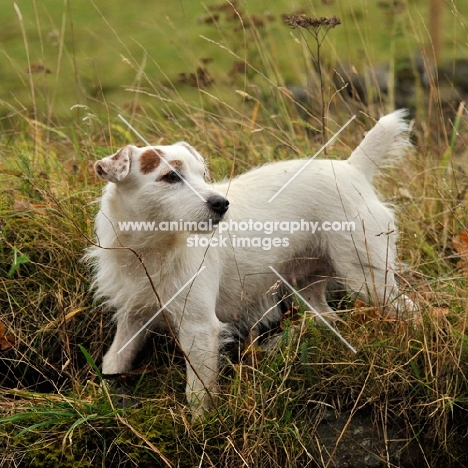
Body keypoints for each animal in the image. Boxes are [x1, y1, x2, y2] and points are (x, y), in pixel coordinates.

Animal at [85, 109, 414, 416]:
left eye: (202, 175)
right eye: (171, 177)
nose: (221, 203)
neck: (150, 248)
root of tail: (351, 169)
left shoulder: (198, 328)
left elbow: (198, 391)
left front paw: (201, 426)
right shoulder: (132, 318)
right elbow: (115, 360)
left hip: (367, 278)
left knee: (410, 308)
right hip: (308, 286)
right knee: (328, 317)